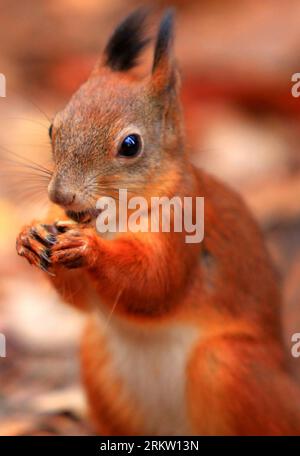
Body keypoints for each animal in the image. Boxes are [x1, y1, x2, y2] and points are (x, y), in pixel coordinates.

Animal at [15, 7, 300, 434]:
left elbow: (155, 283)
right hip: (97, 358)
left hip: (230, 366)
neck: (112, 218)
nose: (61, 196)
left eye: (130, 145)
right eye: (53, 127)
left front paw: (89, 248)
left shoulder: (183, 231)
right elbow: (81, 300)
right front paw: (29, 235)